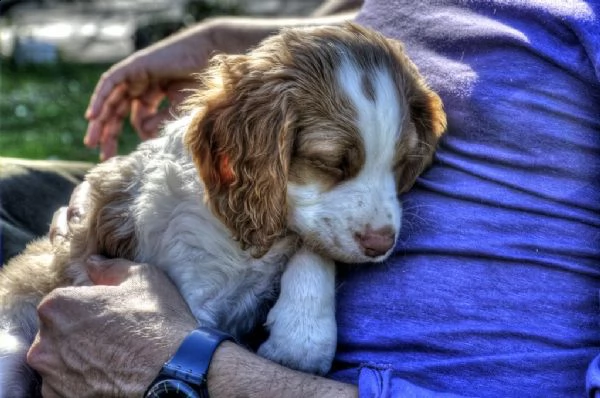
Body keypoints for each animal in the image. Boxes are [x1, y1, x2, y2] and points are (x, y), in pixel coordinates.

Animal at [0, 23, 446, 396]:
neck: (240, 234)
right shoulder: (192, 286)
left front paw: (302, 335)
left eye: (402, 163)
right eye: (331, 162)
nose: (381, 244)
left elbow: (314, 245)